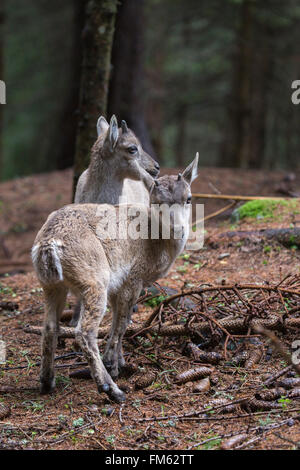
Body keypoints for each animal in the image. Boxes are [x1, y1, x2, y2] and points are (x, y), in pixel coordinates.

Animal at [31, 155, 198, 404]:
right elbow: (121, 322)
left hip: (51, 284)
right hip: (94, 278)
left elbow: (121, 318)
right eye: (156, 201)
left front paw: (120, 361)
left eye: (188, 197)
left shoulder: (117, 286)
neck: (157, 244)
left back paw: (47, 382)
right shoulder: (133, 277)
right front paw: (114, 365)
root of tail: (47, 245)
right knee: (84, 331)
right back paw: (111, 389)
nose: (179, 229)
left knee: (50, 326)